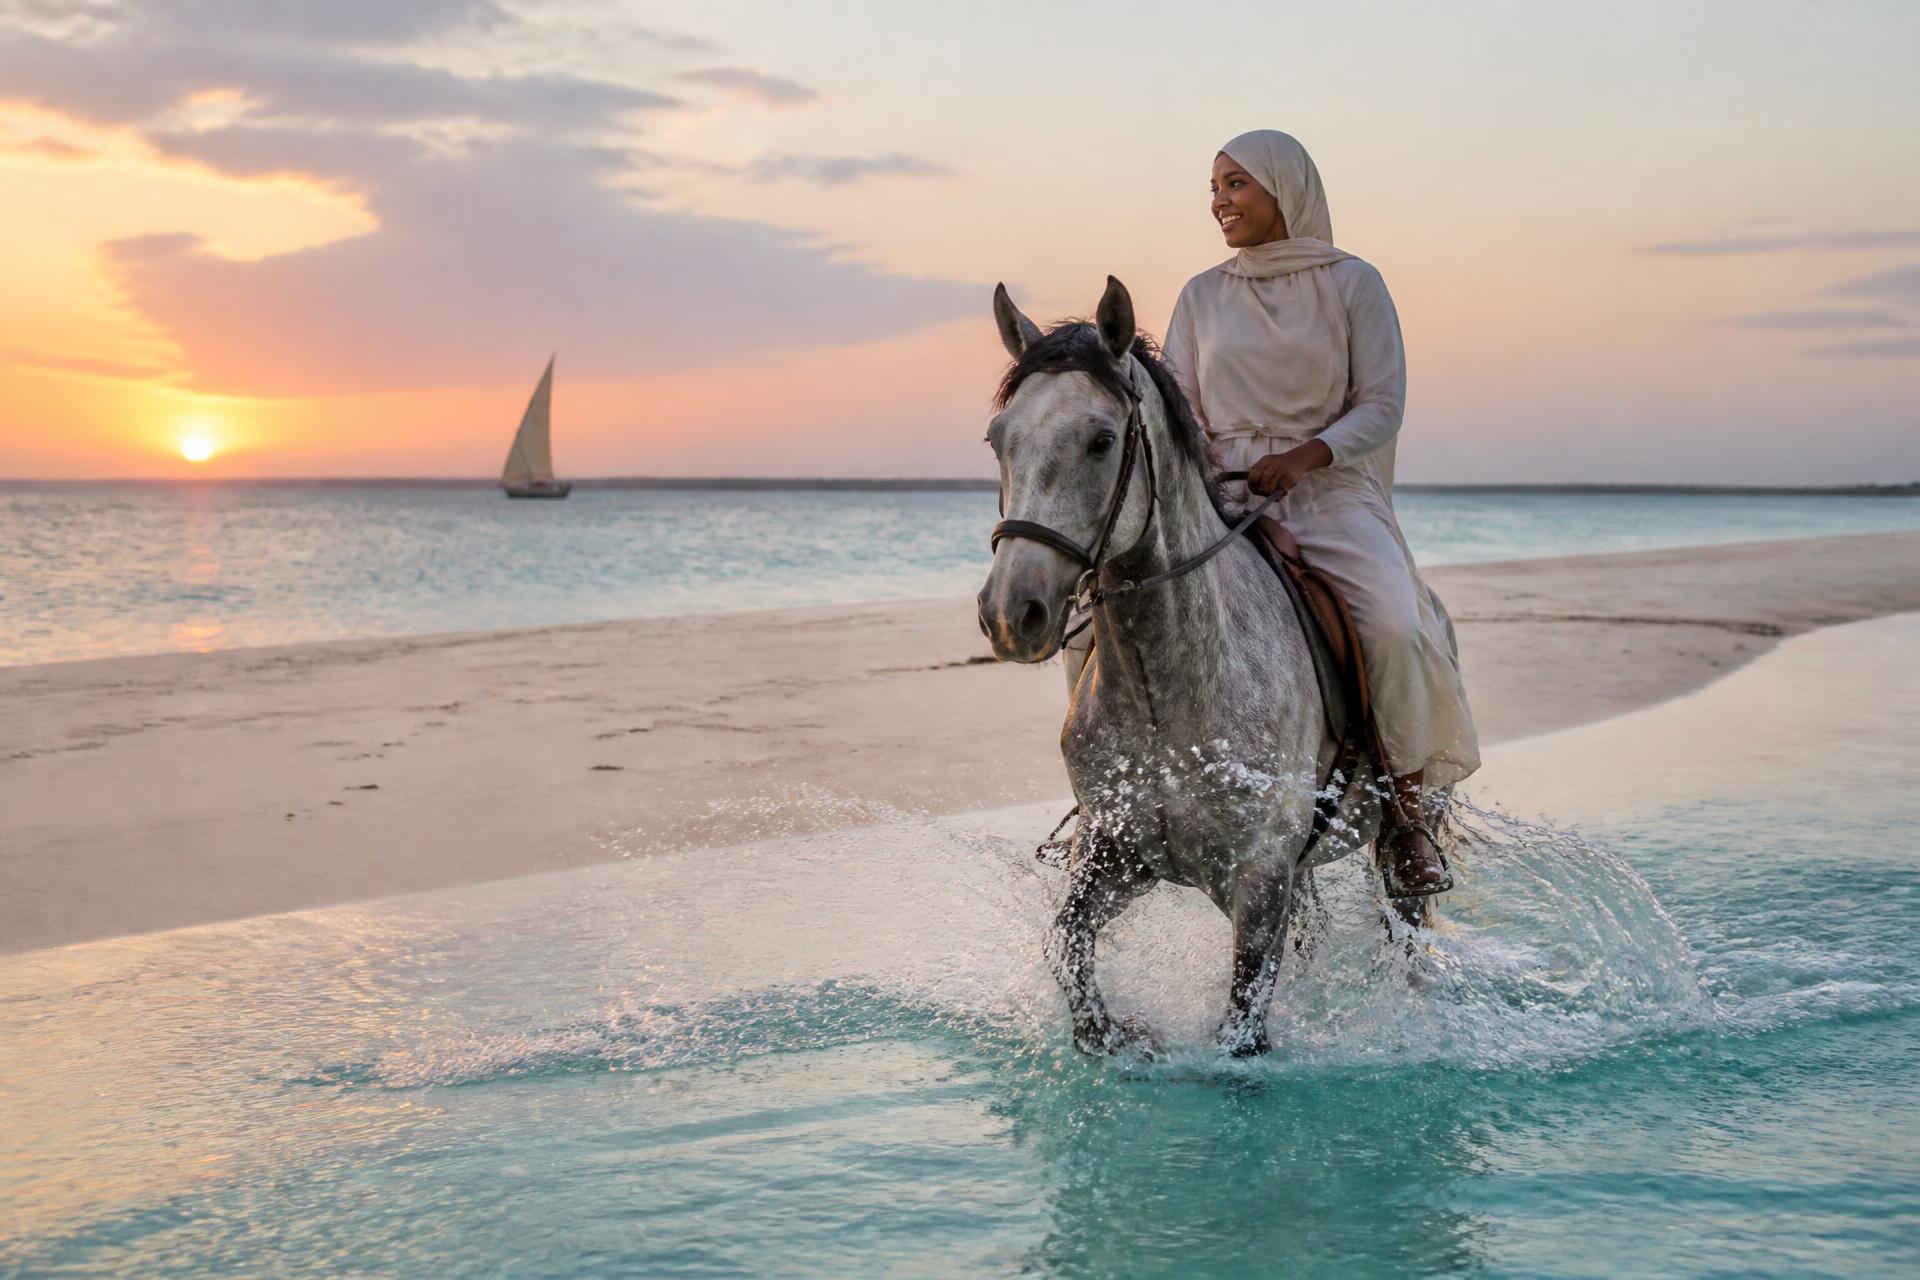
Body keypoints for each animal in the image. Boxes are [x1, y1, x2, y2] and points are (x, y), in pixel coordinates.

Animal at [977, 276, 1416, 1057]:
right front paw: (1120, 1037)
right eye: (999, 439)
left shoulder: (1259, 882)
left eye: (1102, 440)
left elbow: (1241, 1030)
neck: (1167, 693)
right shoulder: (1117, 856)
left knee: (1409, 922)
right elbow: (1068, 950)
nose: (1010, 613)